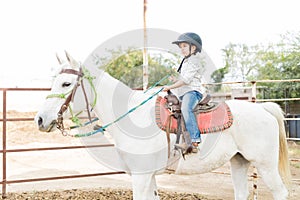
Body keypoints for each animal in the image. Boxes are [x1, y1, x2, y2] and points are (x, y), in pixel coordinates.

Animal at [35, 52, 290, 200]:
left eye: (66, 83)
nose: (40, 119)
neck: (131, 117)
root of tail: (264, 109)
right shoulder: (149, 177)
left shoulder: (140, 176)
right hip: (239, 161)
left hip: (265, 165)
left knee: (280, 192)